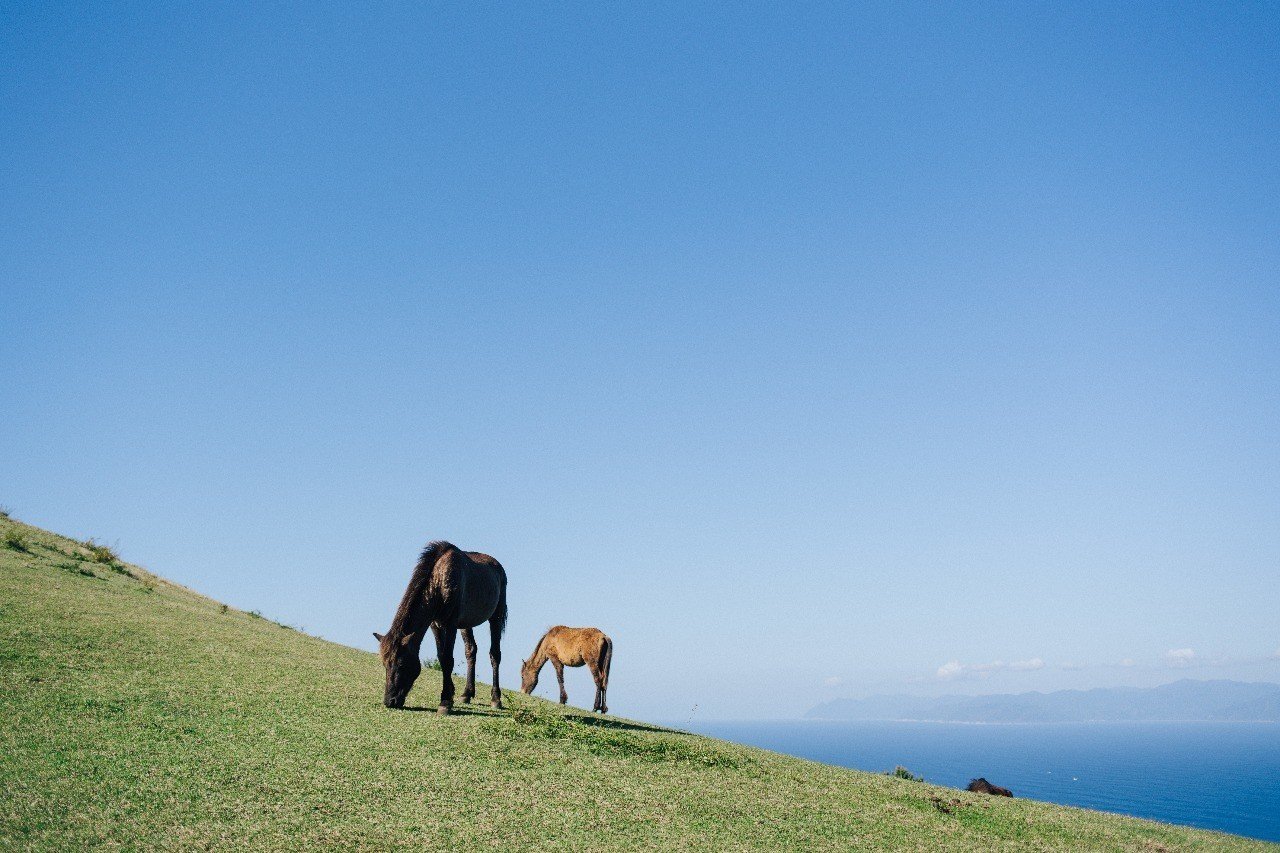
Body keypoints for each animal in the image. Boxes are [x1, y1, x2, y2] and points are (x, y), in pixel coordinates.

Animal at [371, 537, 504, 712]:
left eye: (401, 664)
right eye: (385, 664)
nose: (389, 701)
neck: (439, 581)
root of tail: (498, 566)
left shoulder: (450, 624)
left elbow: (448, 659)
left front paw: (445, 702)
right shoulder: (435, 625)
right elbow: (441, 657)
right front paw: (451, 694)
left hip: (496, 617)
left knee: (495, 654)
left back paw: (496, 698)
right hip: (466, 624)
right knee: (471, 651)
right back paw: (467, 693)